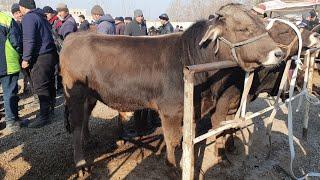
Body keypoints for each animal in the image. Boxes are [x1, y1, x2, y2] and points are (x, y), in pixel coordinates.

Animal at [60, 3, 282, 169]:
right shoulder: (169, 111)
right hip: (75, 94)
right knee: (77, 124)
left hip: (90, 95)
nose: (279, 53)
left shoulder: (192, 109)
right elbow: (173, 140)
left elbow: (188, 138)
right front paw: (172, 166)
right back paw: (81, 163)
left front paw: (186, 163)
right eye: (243, 29)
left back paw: (89, 140)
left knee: (85, 117)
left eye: (263, 26)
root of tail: (74, 36)